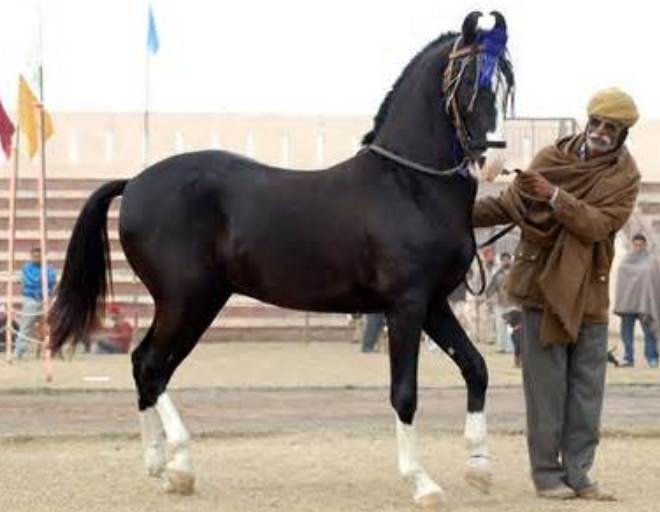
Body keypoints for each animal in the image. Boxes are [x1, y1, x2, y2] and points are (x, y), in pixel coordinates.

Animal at [51, 12, 516, 508]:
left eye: (506, 82)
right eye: (467, 78)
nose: (493, 160)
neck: (409, 185)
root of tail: (134, 182)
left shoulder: (434, 304)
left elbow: (476, 368)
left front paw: (479, 468)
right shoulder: (405, 307)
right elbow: (405, 394)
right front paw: (421, 482)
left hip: (198, 304)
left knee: (147, 365)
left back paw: (162, 466)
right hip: (185, 301)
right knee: (151, 366)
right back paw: (180, 467)